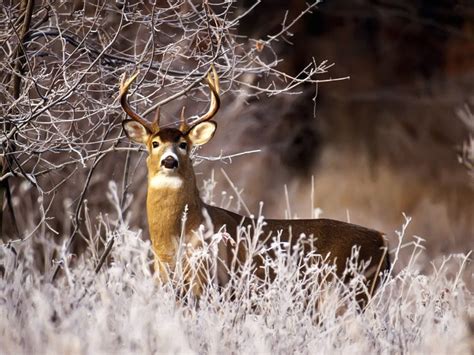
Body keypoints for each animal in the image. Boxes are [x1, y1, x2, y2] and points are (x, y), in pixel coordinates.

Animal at [118, 67, 388, 306]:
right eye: (154, 143)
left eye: (184, 144)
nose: (169, 161)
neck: (175, 238)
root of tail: (382, 241)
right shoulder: (167, 280)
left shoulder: (208, 280)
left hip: (348, 290)